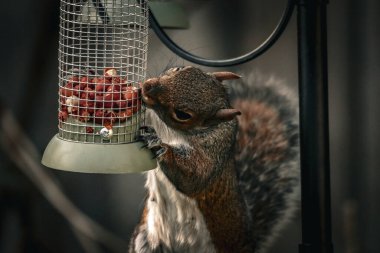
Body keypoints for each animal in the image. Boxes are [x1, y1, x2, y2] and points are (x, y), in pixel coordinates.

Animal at [128, 65, 300, 253]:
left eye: (182, 114)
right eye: (179, 68)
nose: (146, 87)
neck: (170, 131)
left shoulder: (214, 153)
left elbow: (195, 177)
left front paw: (159, 144)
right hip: (145, 242)